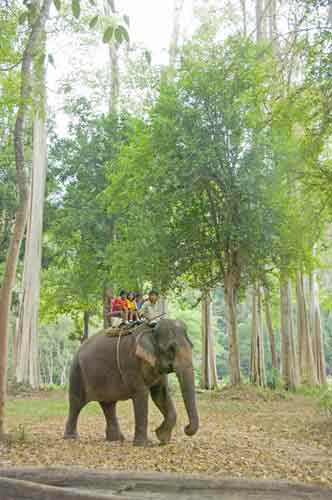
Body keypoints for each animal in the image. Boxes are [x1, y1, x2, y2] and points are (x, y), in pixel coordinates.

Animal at [64, 318, 200, 448]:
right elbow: (141, 393)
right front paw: (143, 445)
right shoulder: (131, 363)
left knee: (108, 404)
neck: (151, 329)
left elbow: (160, 393)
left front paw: (162, 439)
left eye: (192, 346)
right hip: (77, 372)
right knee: (76, 403)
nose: (186, 427)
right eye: (170, 348)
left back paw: (116, 439)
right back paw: (71, 438)